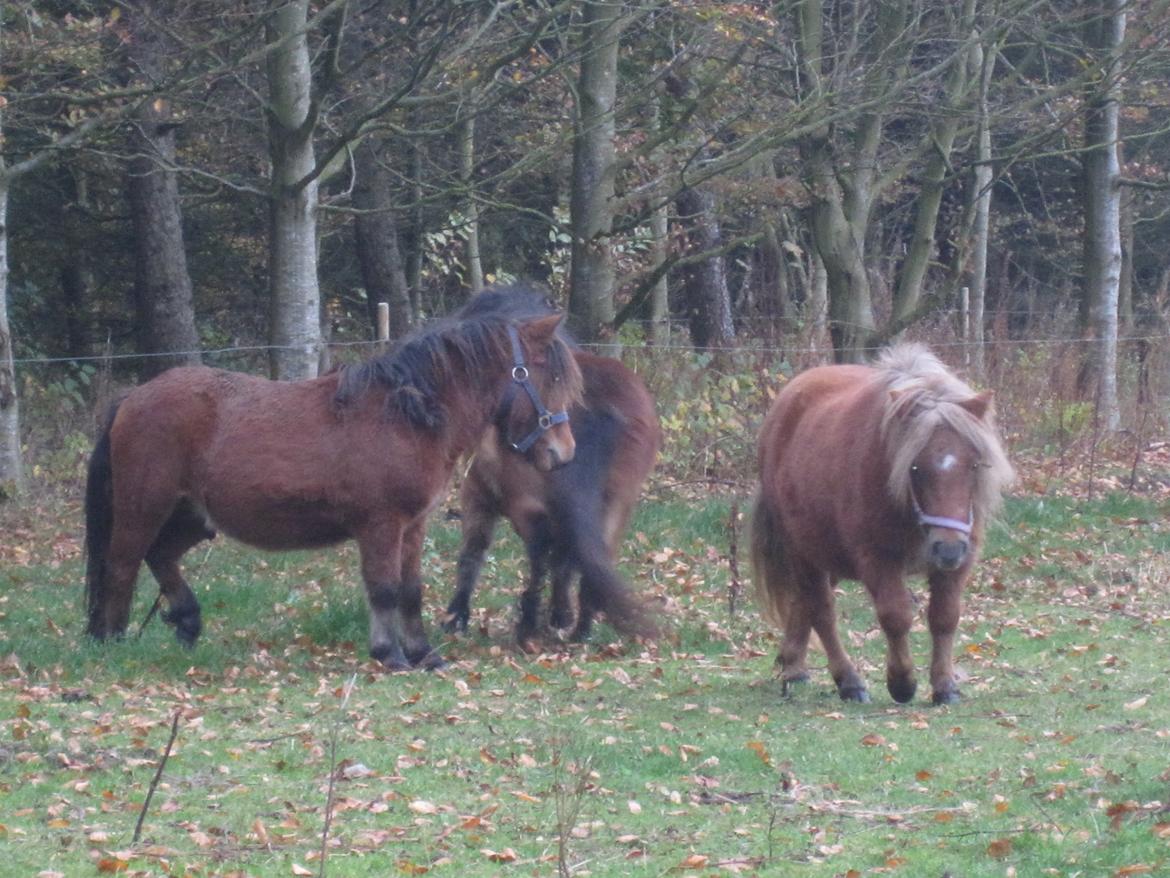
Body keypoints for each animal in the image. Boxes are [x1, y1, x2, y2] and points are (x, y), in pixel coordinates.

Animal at [83, 292, 580, 669]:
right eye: (548, 374)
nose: (564, 452)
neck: (407, 415)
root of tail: (131, 399)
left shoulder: (413, 526)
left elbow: (411, 591)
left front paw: (423, 653)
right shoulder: (381, 525)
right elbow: (384, 588)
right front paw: (389, 654)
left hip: (193, 516)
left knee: (159, 555)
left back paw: (186, 620)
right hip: (144, 506)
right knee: (122, 565)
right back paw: (112, 643)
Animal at [439, 289, 664, 646]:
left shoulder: (479, 493)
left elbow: (473, 554)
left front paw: (456, 617)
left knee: (542, 553)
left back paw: (531, 623)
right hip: (617, 503)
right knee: (592, 558)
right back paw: (578, 627)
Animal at [748, 346, 1015, 707]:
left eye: (974, 465)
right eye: (914, 467)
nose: (947, 548)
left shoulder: (961, 559)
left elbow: (945, 617)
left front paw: (944, 685)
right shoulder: (876, 559)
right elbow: (895, 616)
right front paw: (902, 682)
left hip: (824, 551)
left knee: (804, 602)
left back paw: (794, 667)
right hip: (802, 550)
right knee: (822, 611)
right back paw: (848, 681)